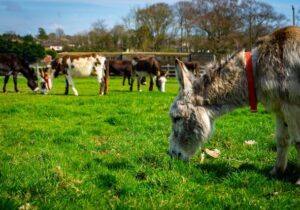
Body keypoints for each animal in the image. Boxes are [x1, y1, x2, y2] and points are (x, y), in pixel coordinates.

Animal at [170, 25, 300, 184]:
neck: (256, 72)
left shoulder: (292, 107)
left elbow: (298, 141)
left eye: (176, 118)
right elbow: (282, 140)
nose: (172, 154)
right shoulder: (280, 109)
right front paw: (276, 172)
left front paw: (298, 181)